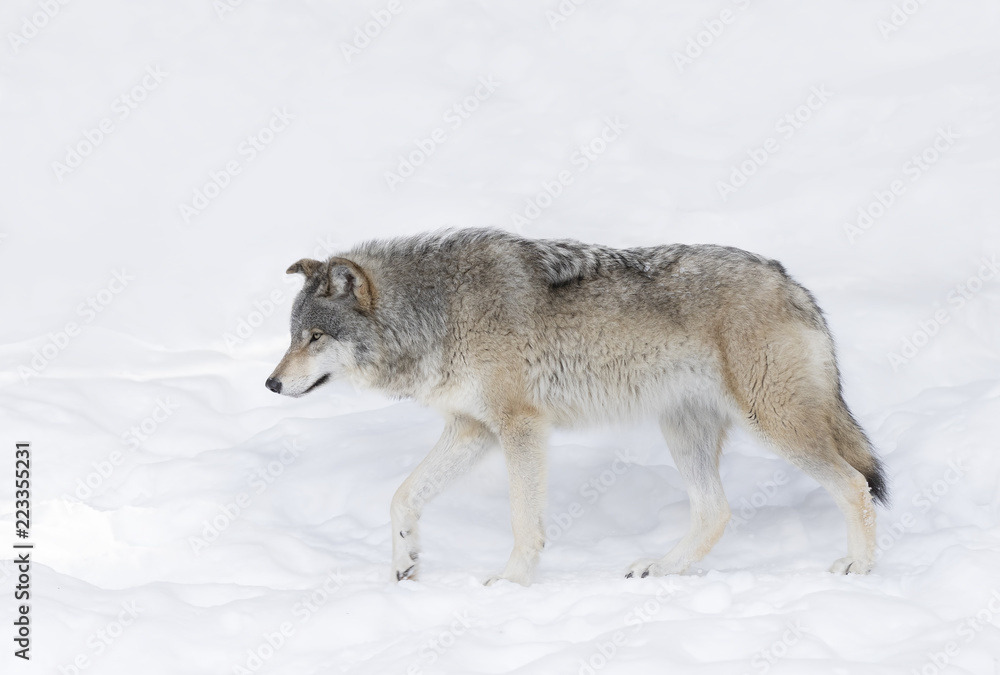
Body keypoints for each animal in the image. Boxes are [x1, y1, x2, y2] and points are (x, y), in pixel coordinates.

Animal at [266, 228, 888, 586]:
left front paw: (511, 583)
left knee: (855, 485)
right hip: (683, 428)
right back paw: (661, 569)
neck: (438, 313)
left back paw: (858, 568)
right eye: (293, 336)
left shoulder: (520, 427)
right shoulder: (473, 429)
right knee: (716, 511)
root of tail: (792, 282)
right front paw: (403, 562)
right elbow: (401, 497)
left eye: (315, 337)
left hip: (773, 422)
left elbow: (523, 521)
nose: (270, 383)